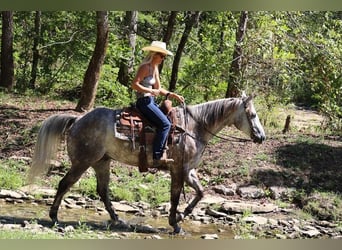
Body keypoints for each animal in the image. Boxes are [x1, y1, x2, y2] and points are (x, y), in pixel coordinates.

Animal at [28, 93, 266, 233]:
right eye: (253, 114)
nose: (261, 137)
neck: (194, 127)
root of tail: (78, 120)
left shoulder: (188, 170)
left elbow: (200, 193)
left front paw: (181, 216)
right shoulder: (178, 170)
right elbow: (175, 196)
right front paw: (175, 223)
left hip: (101, 162)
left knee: (103, 191)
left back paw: (117, 219)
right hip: (82, 162)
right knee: (64, 184)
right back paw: (54, 217)